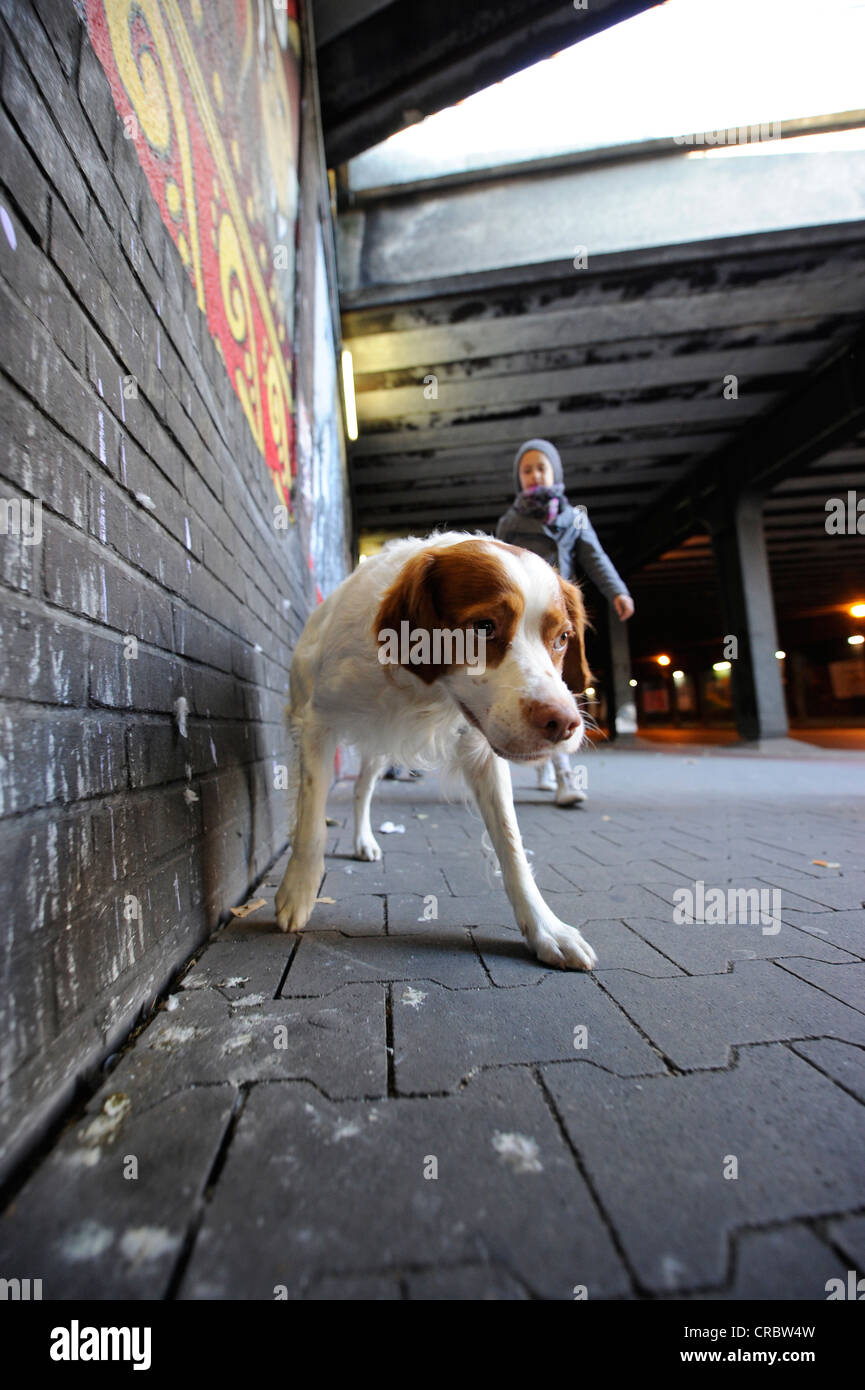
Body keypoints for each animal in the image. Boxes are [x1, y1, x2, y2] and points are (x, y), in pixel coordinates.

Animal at [276, 530, 595, 967]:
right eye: (483, 626)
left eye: (562, 638)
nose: (564, 723)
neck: (422, 687)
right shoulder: (317, 724)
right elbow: (310, 821)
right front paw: (297, 891)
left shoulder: (481, 749)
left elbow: (511, 843)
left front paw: (545, 928)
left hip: (379, 748)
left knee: (361, 789)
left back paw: (363, 840)